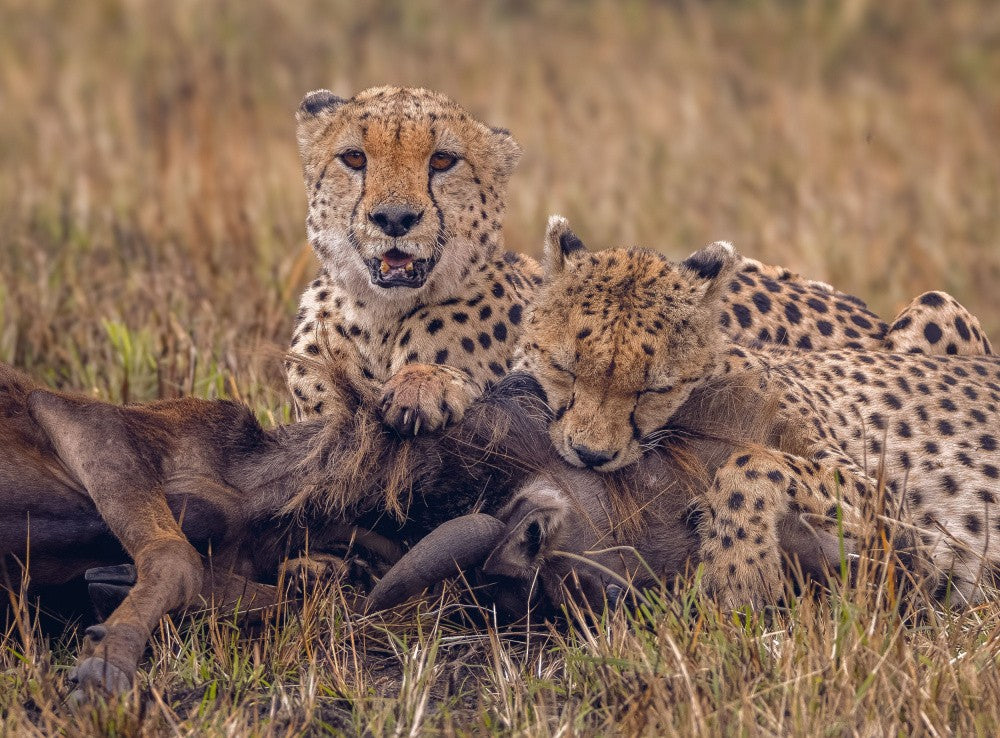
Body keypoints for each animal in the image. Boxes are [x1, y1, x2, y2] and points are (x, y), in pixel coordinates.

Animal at [517, 215, 1000, 607]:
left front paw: (739, 568)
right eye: (564, 368)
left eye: (654, 388)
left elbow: (752, 459)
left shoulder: (886, 505)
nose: (591, 455)